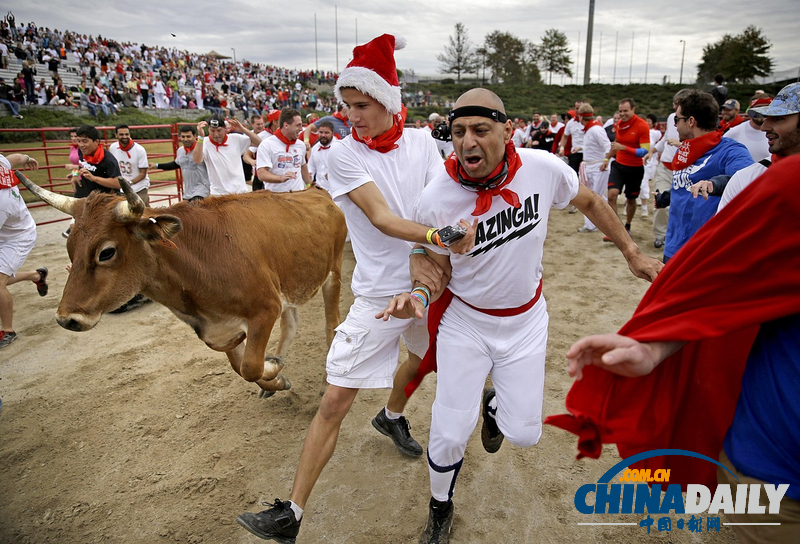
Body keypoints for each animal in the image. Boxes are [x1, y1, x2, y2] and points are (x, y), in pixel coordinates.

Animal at [19, 172, 346, 398]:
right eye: (70, 248)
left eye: (106, 252)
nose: (66, 319)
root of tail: (317, 193)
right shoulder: (220, 330)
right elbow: (239, 367)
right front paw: (275, 377)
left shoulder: (265, 309)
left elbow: (250, 366)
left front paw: (273, 368)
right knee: (291, 322)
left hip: (334, 272)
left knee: (332, 325)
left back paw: (325, 380)